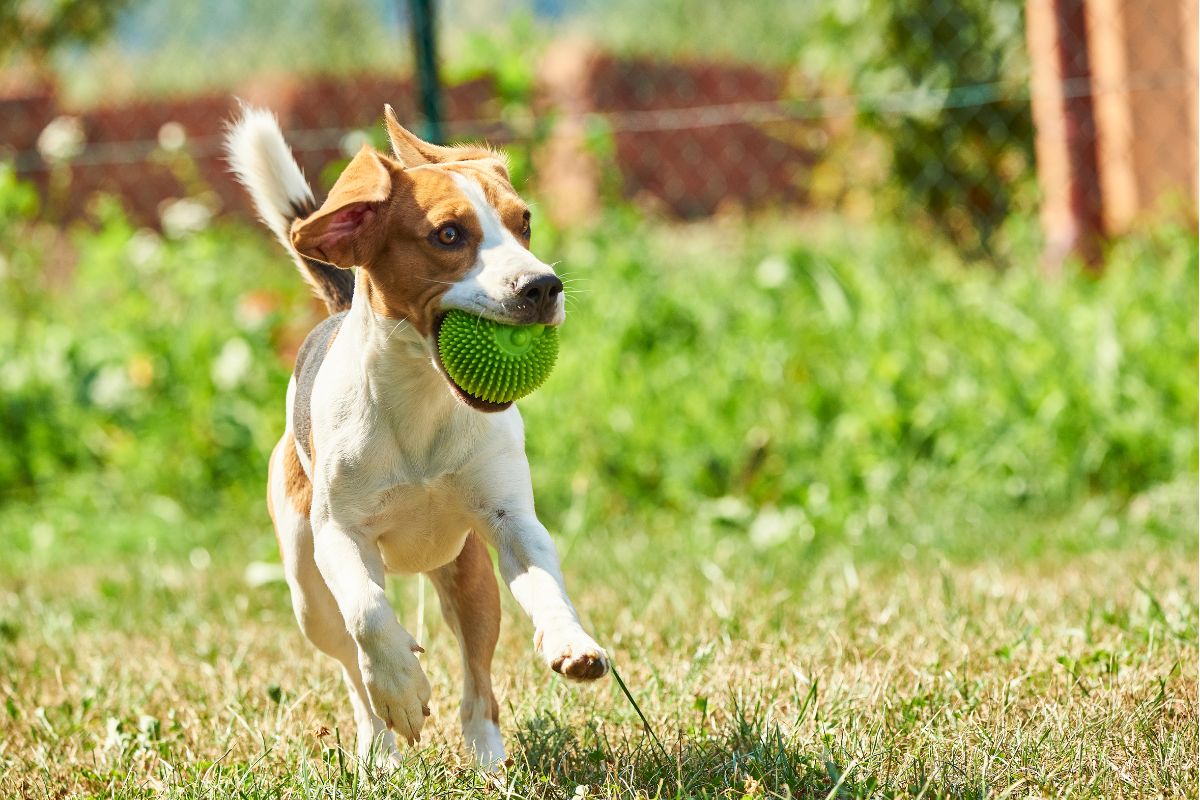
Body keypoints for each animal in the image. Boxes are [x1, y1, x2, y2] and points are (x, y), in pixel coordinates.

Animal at [223, 106, 609, 767]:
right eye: (448, 236)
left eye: (525, 223)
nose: (542, 287)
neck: (425, 399)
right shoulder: (340, 534)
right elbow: (370, 615)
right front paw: (402, 688)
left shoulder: (510, 521)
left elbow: (546, 582)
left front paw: (570, 641)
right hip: (307, 591)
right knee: (352, 662)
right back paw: (379, 746)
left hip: (468, 575)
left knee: (478, 680)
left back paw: (489, 760)